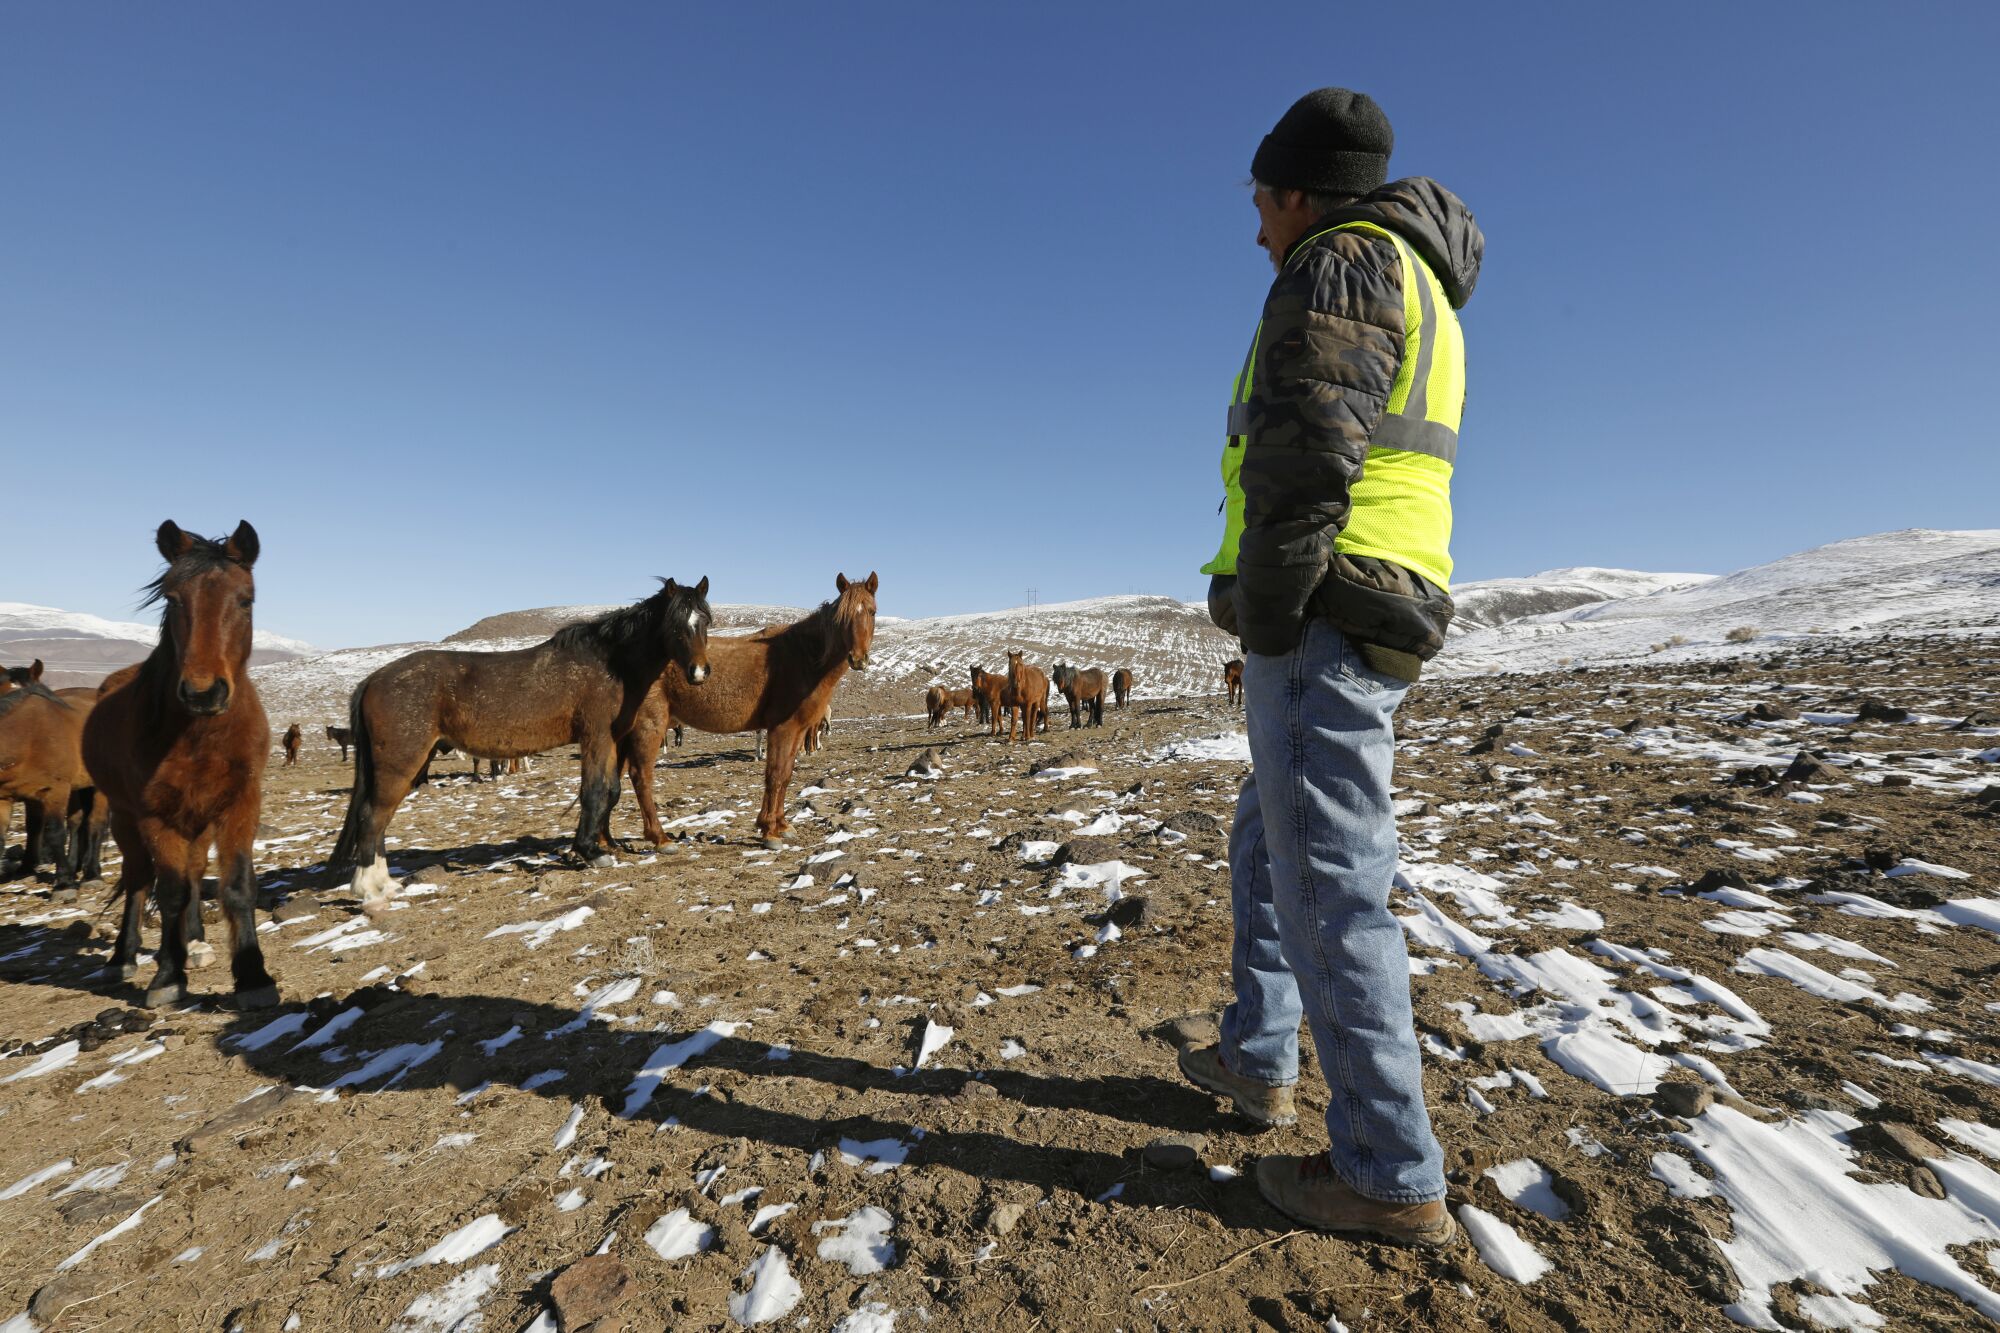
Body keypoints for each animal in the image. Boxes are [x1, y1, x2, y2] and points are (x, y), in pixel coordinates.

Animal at [84, 524, 278, 1000]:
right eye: (172, 599)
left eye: (245, 600)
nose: (203, 693)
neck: (199, 735)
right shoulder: (155, 814)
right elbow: (169, 891)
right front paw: (169, 976)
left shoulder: (240, 802)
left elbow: (236, 886)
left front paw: (253, 976)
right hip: (125, 818)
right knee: (139, 879)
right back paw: (124, 957)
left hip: (198, 819)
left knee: (193, 874)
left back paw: (194, 941)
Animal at [338, 572, 720, 904]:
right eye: (675, 625)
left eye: (705, 622)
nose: (699, 673)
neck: (611, 665)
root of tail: (372, 680)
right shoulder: (596, 737)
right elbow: (594, 793)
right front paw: (591, 852)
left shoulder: (611, 740)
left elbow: (610, 792)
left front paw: (597, 846)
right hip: (401, 760)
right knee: (374, 815)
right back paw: (372, 889)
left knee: (379, 816)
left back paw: (385, 884)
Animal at [620, 568, 880, 840]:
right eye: (843, 617)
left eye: (872, 611)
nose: (858, 659)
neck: (803, 657)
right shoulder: (781, 728)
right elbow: (774, 775)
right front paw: (769, 829)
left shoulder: (798, 730)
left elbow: (785, 774)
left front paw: (781, 825)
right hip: (649, 725)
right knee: (640, 776)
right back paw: (658, 838)